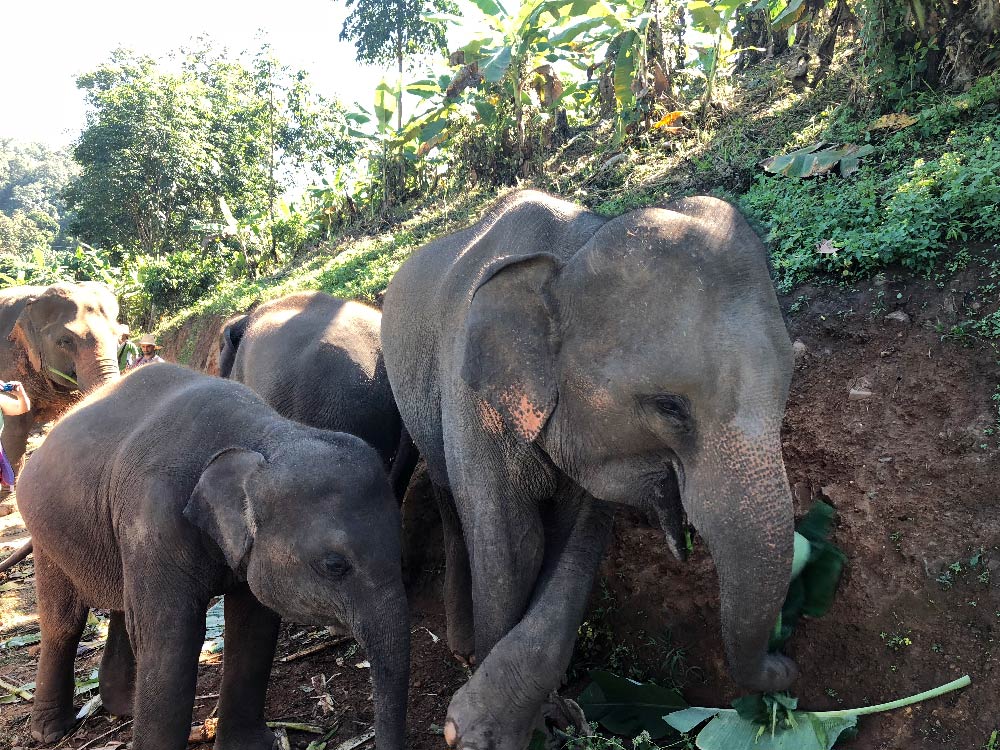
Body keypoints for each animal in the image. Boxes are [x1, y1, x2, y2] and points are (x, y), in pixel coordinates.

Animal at [16, 364, 406, 750]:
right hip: (45, 532)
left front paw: (250, 746)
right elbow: (171, 637)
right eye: (334, 566)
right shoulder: (153, 517)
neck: (266, 435)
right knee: (64, 622)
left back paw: (124, 706)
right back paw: (50, 731)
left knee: (123, 609)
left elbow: (253, 625)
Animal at [378, 191, 800, 748]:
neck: (572, 248)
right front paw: (485, 730)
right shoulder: (470, 396)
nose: (786, 664)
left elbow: (574, 544)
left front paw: (540, 717)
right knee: (449, 496)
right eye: (669, 407)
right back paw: (464, 647)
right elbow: (514, 544)